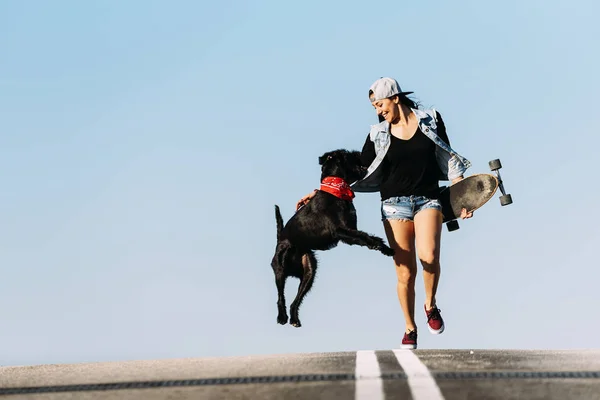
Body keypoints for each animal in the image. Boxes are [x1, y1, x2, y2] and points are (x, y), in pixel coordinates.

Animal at [270, 148, 394, 326]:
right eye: (348, 154)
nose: (359, 152)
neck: (337, 191)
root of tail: (280, 238)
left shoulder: (350, 230)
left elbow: (364, 236)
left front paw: (384, 248)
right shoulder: (340, 231)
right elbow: (365, 237)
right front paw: (381, 246)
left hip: (309, 272)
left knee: (296, 300)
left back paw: (294, 319)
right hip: (280, 268)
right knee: (281, 296)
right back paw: (282, 317)